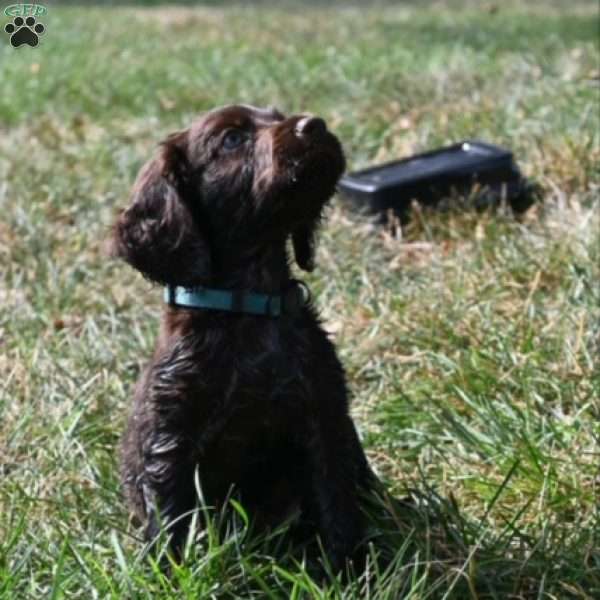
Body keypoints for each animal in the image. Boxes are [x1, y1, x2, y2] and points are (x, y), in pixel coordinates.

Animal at [113, 104, 376, 572]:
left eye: (280, 115)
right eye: (232, 139)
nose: (316, 125)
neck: (250, 304)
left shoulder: (323, 417)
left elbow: (336, 503)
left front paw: (351, 570)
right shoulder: (171, 437)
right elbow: (170, 521)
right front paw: (172, 574)